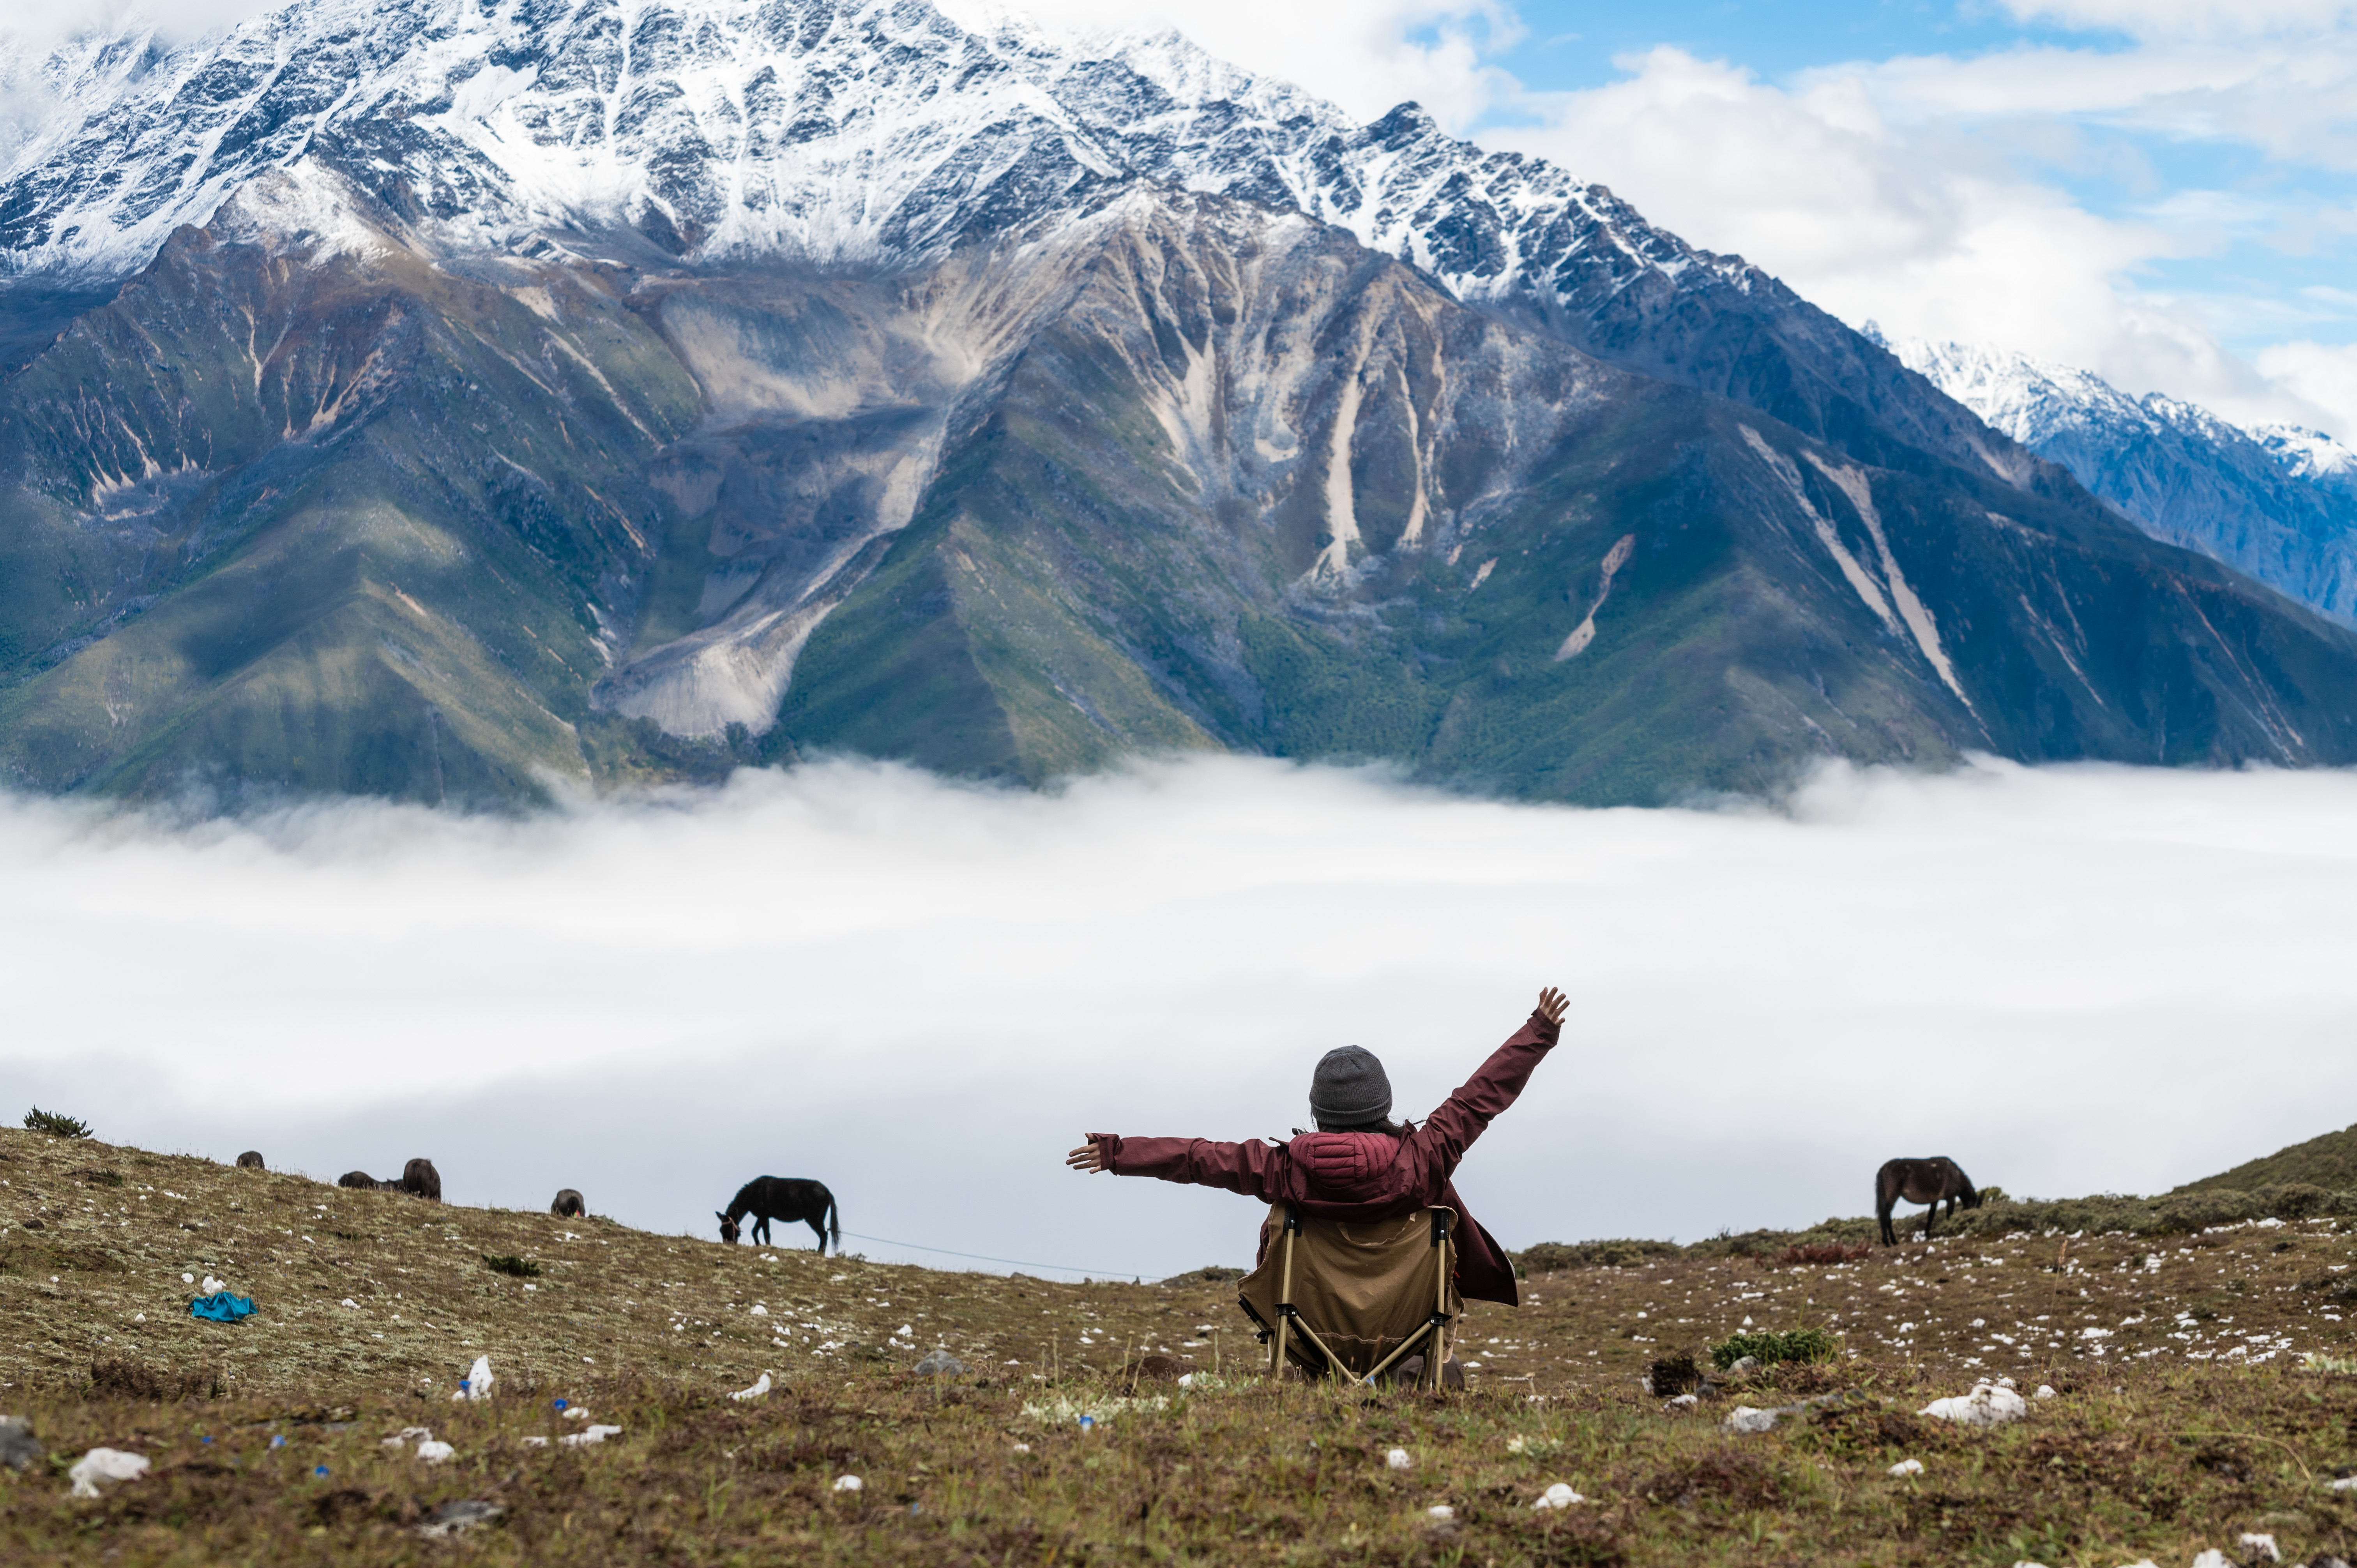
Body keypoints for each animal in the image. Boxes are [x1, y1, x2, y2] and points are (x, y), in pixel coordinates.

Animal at [721, 1174, 844, 1245]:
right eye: (721, 1230)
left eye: (725, 1229)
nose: (728, 1245)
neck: (753, 1193)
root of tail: (827, 1192)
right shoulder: (761, 1216)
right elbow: (755, 1232)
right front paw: (759, 1245)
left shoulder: (764, 1216)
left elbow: (766, 1234)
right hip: (820, 1219)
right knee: (824, 1235)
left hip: (813, 1219)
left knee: (823, 1235)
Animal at [1885, 1150, 1980, 1245]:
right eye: (1973, 1209)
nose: (1970, 1225)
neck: (1957, 1176)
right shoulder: (1951, 1198)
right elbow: (1949, 1214)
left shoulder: (1935, 1200)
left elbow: (1931, 1215)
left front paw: (1927, 1234)